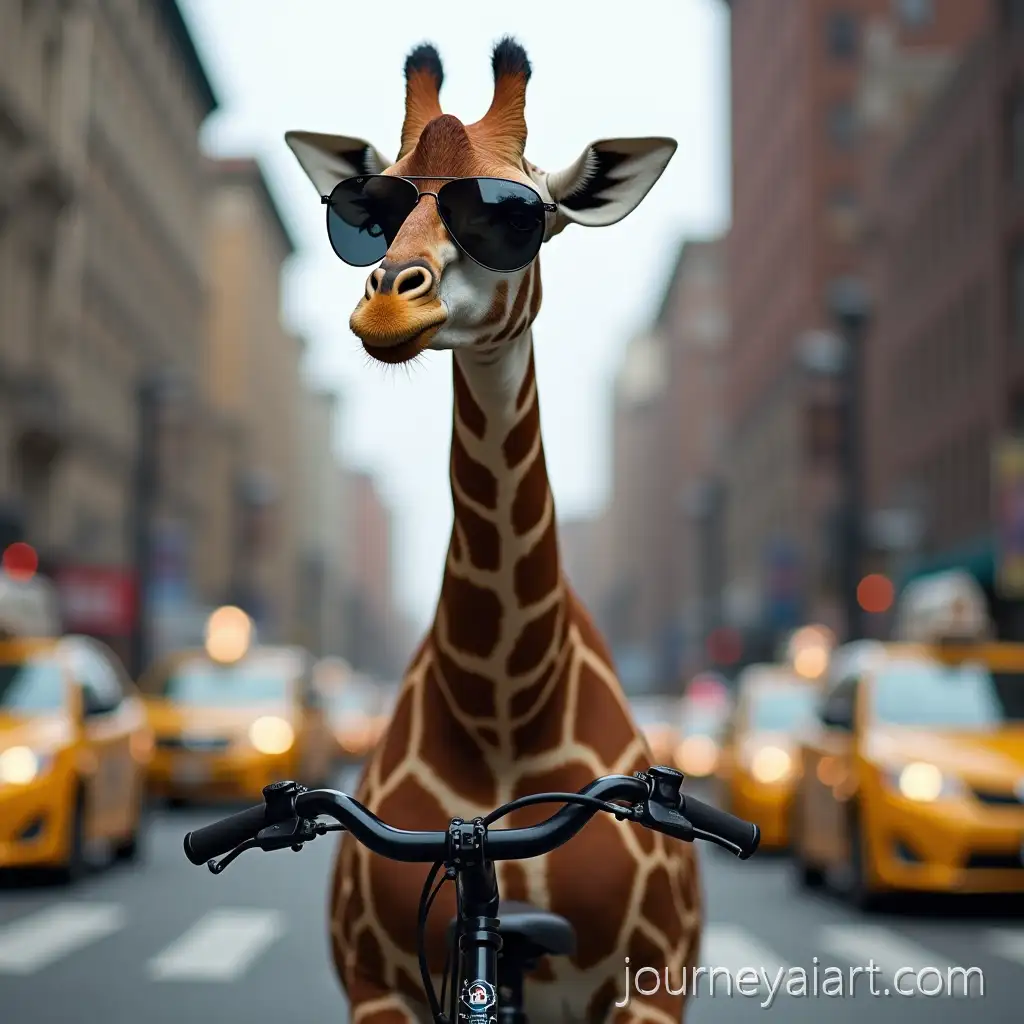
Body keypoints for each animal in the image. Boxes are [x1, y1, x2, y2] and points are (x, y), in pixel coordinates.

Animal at [285, 37, 701, 1024]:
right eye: (373, 208)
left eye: (521, 214)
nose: (389, 303)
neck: (505, 702)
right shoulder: (379, 983)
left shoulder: (651, 984)